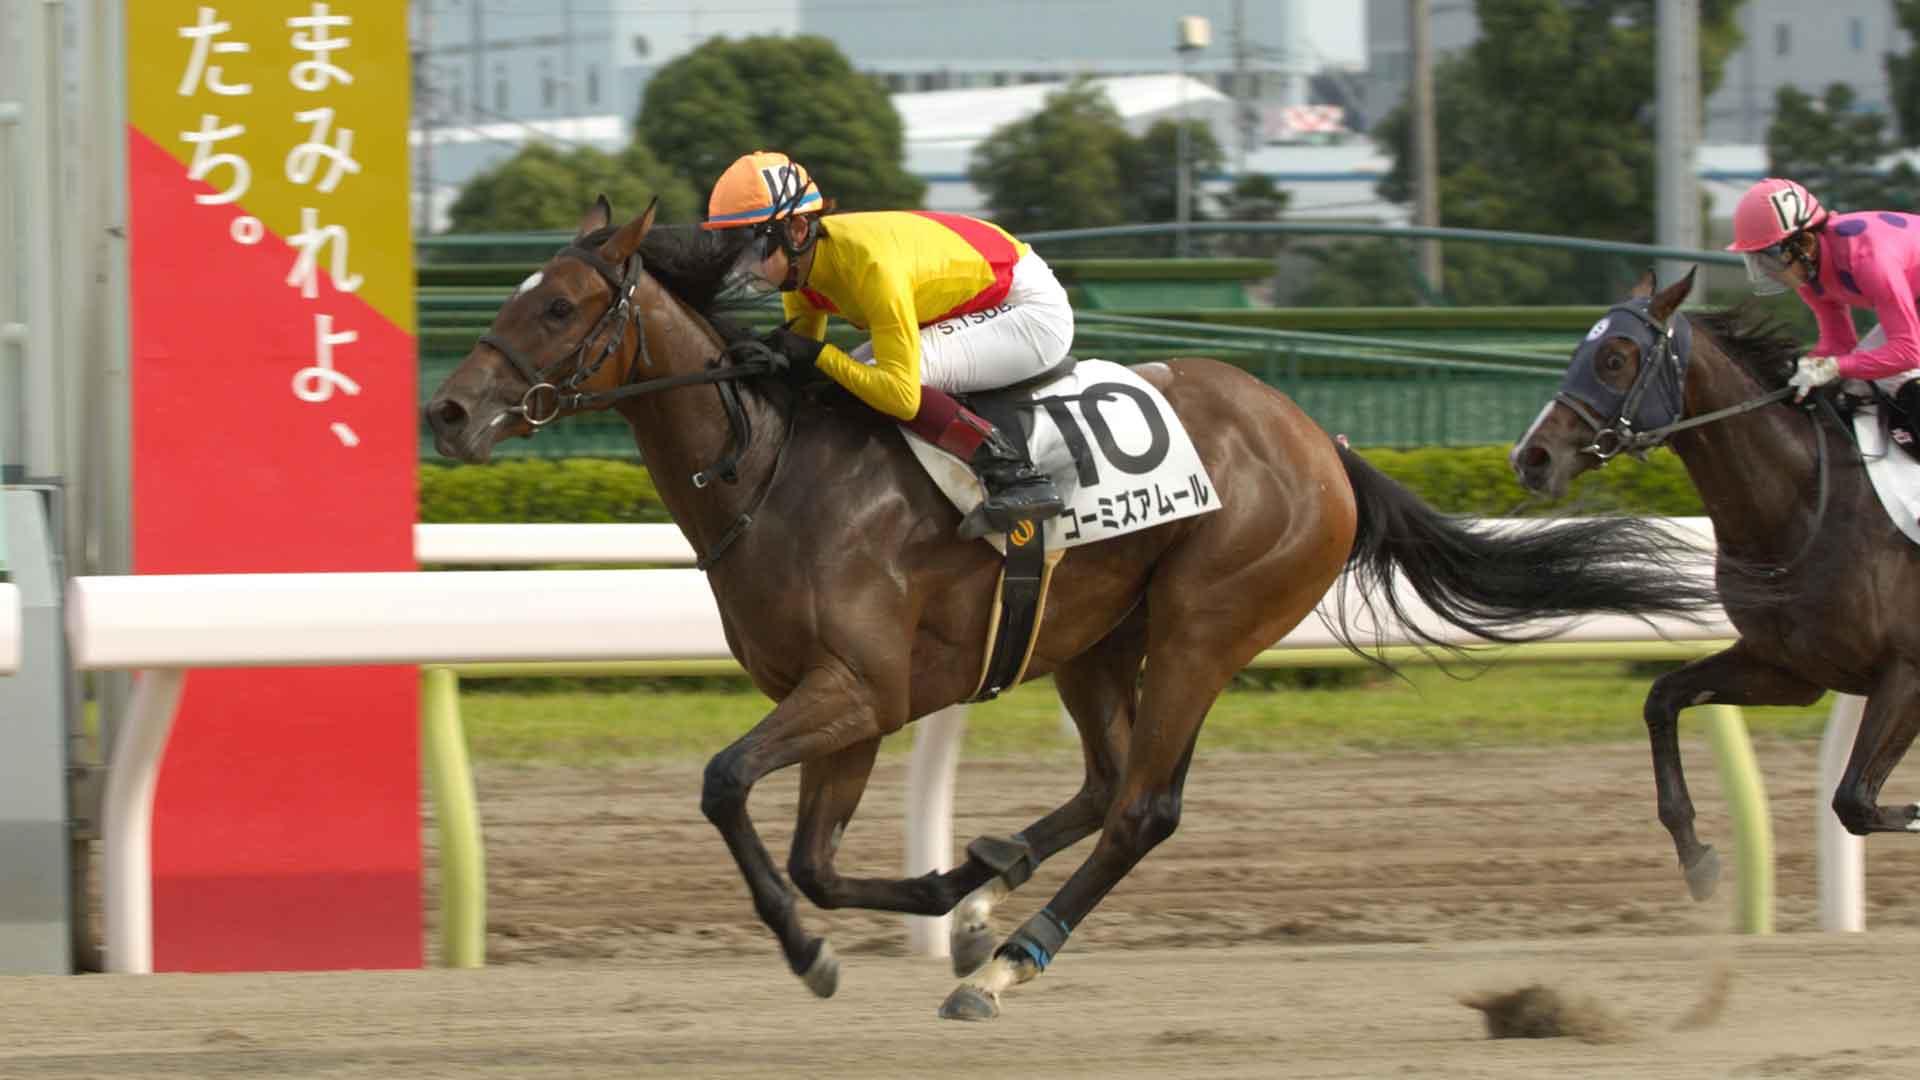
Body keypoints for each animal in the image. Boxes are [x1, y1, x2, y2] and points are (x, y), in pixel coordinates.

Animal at [425, 197, 1721, 1020]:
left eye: (557, 308)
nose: (447, 413)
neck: (775, 473)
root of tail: (1323, 442)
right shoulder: (856, 701)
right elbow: (814, 857)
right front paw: (943, 893)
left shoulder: (858, 687)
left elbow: (727, 788)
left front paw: (820, 951)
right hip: (1096, 633)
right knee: (1105, 784)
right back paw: (993, 894)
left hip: (1206, 620)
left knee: (1144, 806)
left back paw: (1009, 962)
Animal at [1512, 267, 1920, 902]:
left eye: (1614, 358)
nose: (1532, 457)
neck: (1808, 508)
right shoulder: (1790, 670)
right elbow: (1663, 697)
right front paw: (1696, 856)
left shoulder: (1906, 670)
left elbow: (1855, 800)